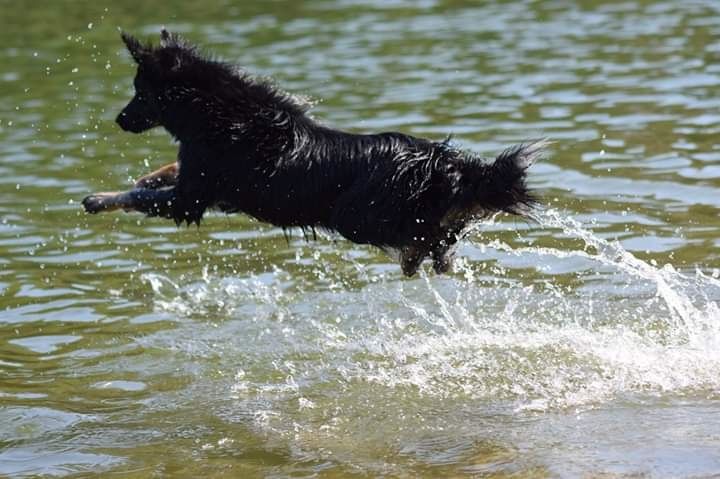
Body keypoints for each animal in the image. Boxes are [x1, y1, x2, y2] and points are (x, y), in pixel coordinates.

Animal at [83, 30, 544, 276]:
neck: (219, 113)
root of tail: (447, 162)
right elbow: (159, 176)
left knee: (427, 235)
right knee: (446, 231)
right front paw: (138, 179)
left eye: (140, 92)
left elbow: (140, 196)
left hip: (355, 217)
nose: (119, 120)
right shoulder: (200, 182)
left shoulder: (191, 198)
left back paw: (422, 256)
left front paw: (98, 199)